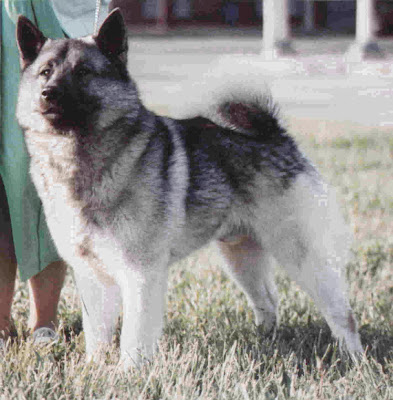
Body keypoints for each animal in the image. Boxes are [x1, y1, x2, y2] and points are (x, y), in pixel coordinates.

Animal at [16, 8, 362, 366]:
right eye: (45, 72)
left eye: (83, 72)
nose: (49, 93)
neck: (77, 156)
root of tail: (275, 135)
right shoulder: (92, 276)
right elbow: (97, 334)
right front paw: (95, 369)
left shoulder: (140, 274)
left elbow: (133, 336)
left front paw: (128, 372)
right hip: (242, 256)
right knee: (268, 301)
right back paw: (266, 342)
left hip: (300, 254)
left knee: (343, 315)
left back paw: (355, 361)